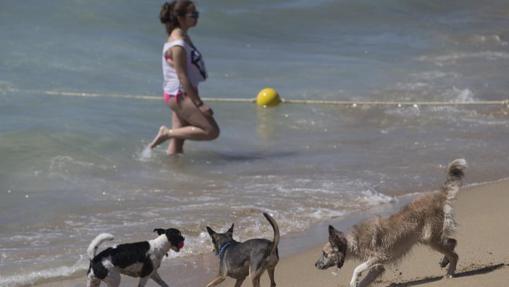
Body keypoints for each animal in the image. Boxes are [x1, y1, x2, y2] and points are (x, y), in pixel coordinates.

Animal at [314, 160, 464, 287]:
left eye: (325, 254)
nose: (315, 265)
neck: (352, 241)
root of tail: (438, 195)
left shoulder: (379, 257)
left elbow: (357, 268)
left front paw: (353, 279)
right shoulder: (377, 267)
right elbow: (365, 279)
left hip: (430, 239)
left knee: (454, 253)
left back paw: (450, 272)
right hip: (430, 239)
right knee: (453, 242)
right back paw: (445, 261)